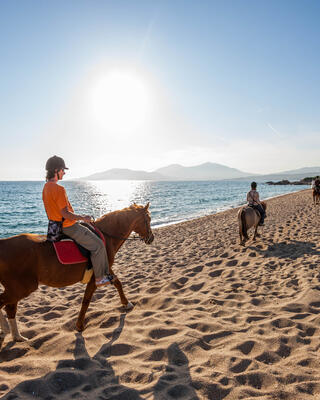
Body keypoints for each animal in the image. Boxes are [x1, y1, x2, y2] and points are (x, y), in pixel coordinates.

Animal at [0, 203, 154, 340]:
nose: (151, 238)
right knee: (5, 304)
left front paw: (126, 304)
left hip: (16, 289)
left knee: (10, 308)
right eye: (148, 219)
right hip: (22, 288)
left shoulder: (105, 268)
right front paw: (79, 325)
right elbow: (86, 300)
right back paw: (8, 330)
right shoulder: (96, 275)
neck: (106, 236)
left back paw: (17, 336)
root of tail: (3, 244)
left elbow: (117, 283)